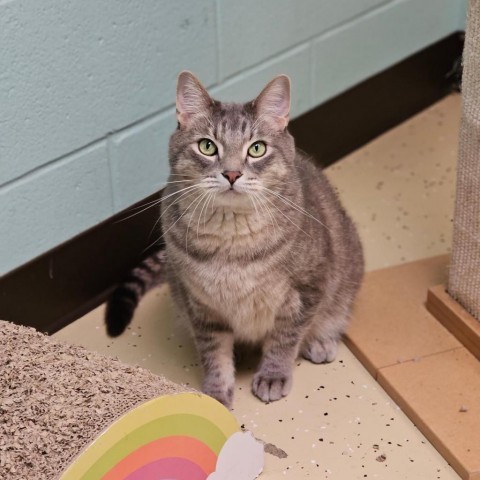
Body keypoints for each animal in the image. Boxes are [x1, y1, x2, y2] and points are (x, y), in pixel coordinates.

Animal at [107, 72, 364, 408]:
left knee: (335, 313)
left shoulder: (306, 290)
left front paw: (273, 375)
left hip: (346, 273)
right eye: (207, 146)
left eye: (256, 149)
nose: (231, 174)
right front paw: (217, 393)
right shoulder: (200, 305)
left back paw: (320, 342)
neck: (232, 243)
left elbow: (284, 340)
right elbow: (214, 352)